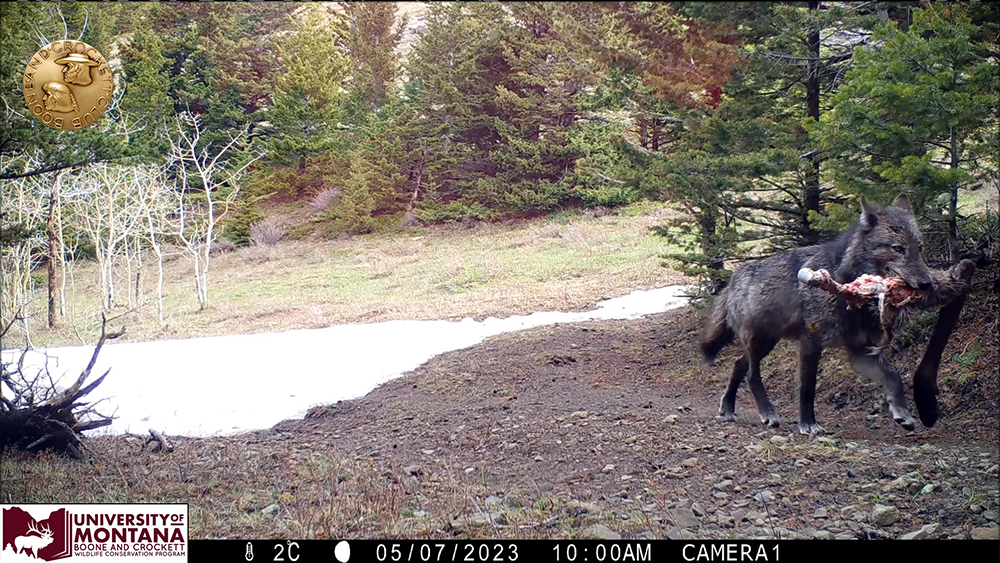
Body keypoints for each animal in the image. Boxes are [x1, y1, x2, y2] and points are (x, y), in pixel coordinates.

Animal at [700, 193, 944, 435]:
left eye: (919, 248)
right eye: (898, 248)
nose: (927, 284)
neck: (846, 286)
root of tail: (732, 280)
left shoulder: (861, 352)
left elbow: (894, 377)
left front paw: (903, 413)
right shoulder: (811, 342)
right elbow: (808, 388)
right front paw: (808, 423)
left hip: (765, 344)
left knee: (739, 366)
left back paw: (728, 408)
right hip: (759, 342)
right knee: (751, 375)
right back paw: (768, 413)